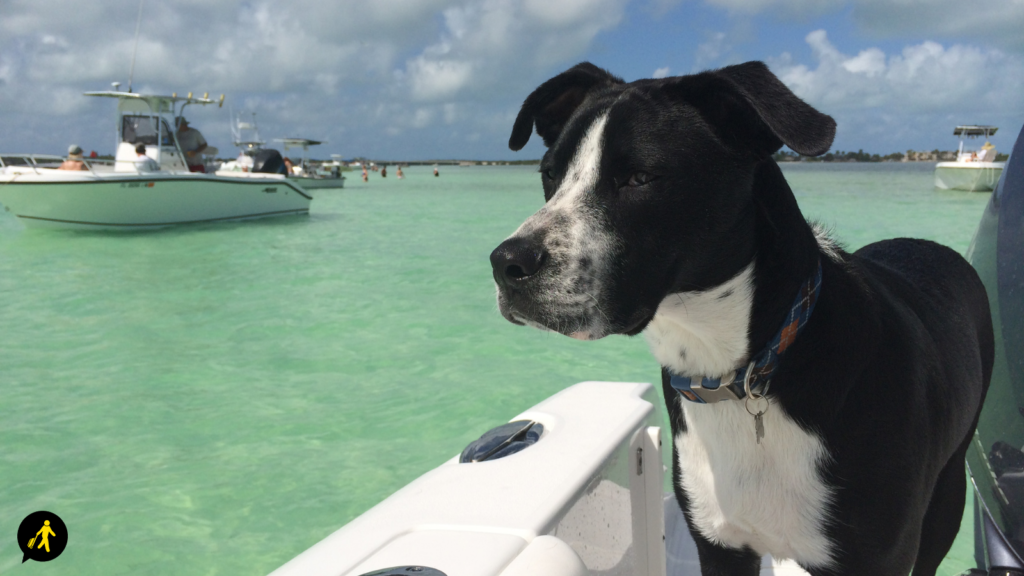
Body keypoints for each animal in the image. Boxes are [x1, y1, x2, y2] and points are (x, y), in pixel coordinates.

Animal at [491, 60, 995, 569]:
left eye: (639, 177)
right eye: (549, 175)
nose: (507, 263)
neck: (737, 372)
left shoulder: (876, 557)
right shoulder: (718, 543)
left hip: (948, 491)